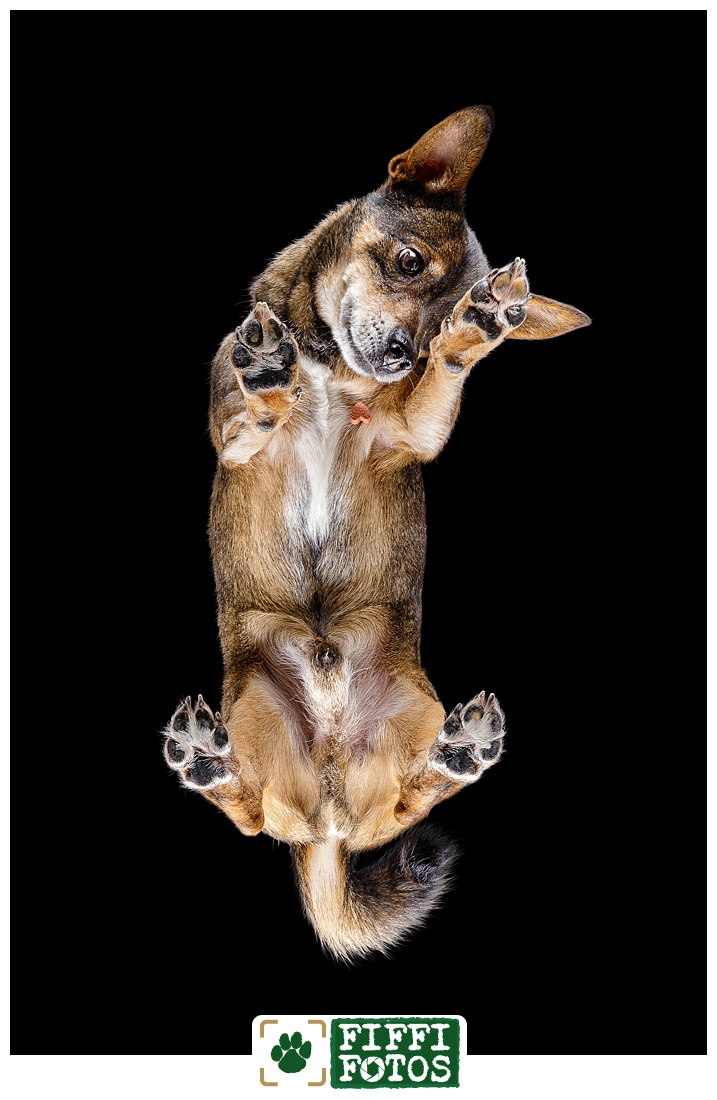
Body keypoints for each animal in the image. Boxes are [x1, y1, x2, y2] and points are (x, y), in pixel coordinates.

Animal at [162, 105, 589, 963]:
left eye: (428, 339)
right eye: (406, 261)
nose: (400, 354)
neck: (333, 371)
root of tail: (326, 823)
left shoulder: (406, 436)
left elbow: (430, 401)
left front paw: (474, 332)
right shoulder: (233, 442)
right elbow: (255, 416)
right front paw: (271, 377)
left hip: (410, 721)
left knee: (399, 802)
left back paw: (457, 755)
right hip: (255, 717)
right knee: (251, 811)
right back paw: (208, 760)